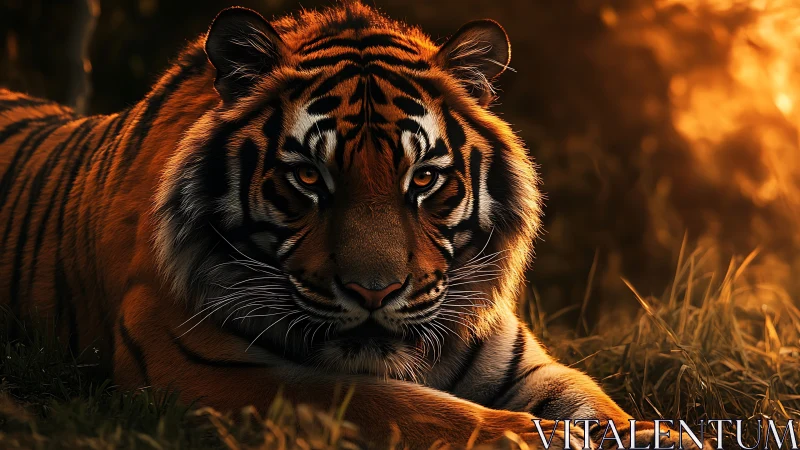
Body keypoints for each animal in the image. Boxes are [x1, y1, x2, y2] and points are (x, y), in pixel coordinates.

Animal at [0, 3, 710, 449]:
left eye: (422, 179)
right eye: (309, 179)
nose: (375, 292)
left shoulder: (524, 365)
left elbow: (599, 404)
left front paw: (663, 435)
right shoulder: (202, 366)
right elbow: (398, 404)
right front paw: (531, 437)